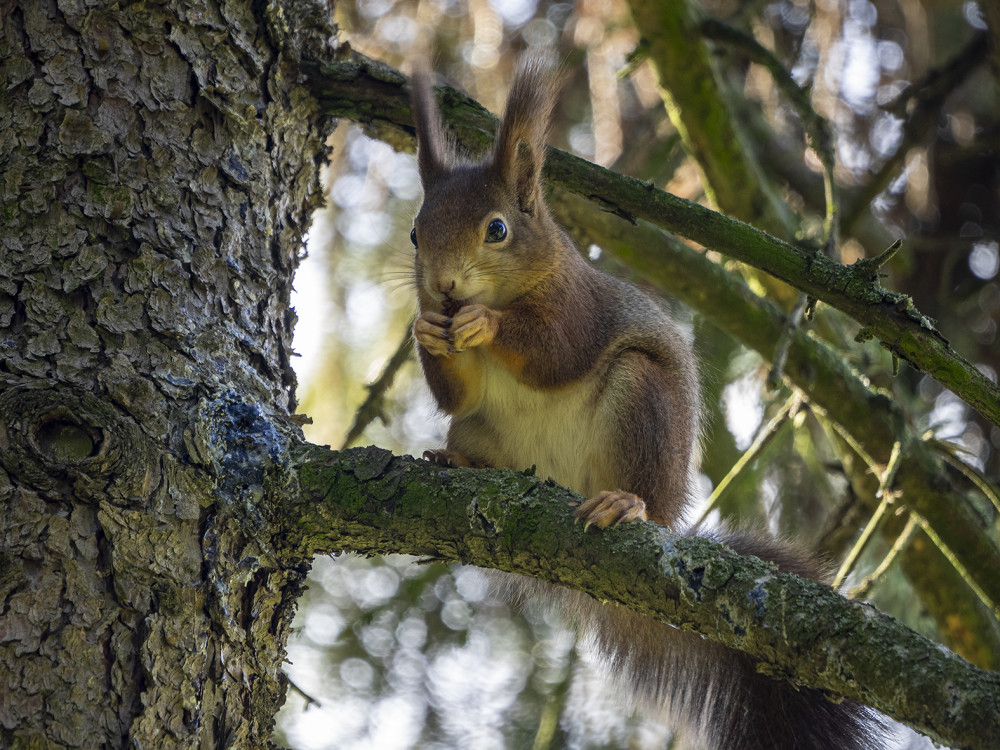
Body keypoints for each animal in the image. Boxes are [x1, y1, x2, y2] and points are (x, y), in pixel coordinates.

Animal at [406, 60, 884, 750]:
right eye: (416, 232)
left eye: (497, 229)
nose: (442, 287)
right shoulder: (464, 388)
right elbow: (456, 391)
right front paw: (425, 330)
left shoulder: (576, 305)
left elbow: (555, 350)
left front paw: (483, 323)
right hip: (478, 431)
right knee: (469, 434)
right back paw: (459, 462)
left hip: (641, 402)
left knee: (642, 492)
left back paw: (625, 505)